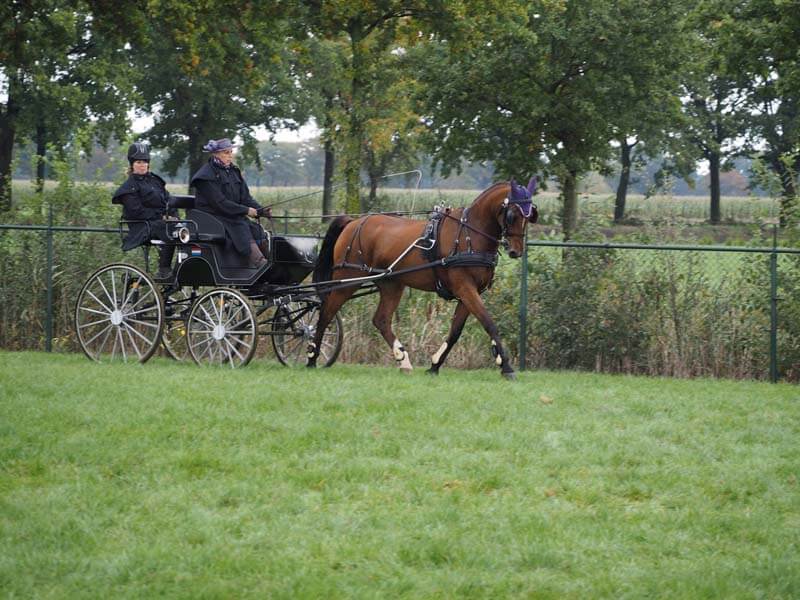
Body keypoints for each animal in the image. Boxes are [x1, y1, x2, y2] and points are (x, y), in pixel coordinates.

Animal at [307, 178, 538, 379]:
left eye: (530, 216)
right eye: (512, 215)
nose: (516, 251)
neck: (469, 235)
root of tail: (354, 222)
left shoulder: (470, 293)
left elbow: (455, 331)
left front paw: (434, 365)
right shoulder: (465, 288)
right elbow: (489, 322)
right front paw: (506, 366)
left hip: (391, 284)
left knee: (381, 320)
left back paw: (403, 359)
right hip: (346, 281)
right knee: (326, 312)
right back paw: (311, 356)